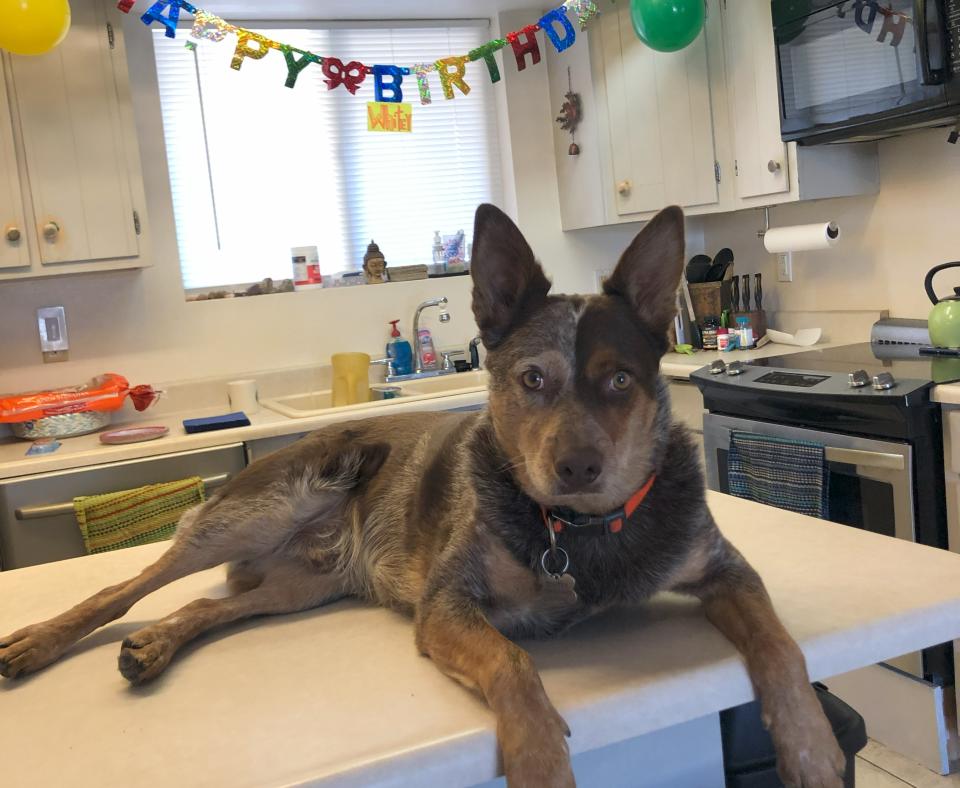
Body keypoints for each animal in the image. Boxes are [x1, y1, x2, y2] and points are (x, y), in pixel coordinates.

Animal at [0, 205, 844, 788]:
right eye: (531, 379)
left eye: (619, 380)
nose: (578, 468)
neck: (579, 531)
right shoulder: (448, 605)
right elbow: (514, 665)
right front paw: (540, 762)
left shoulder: (722, 567)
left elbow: (780, 643)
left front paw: (810, 747)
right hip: (254, 510)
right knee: (127, 585)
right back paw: (42, 640)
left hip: (301, 586)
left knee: (214, 607)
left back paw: (155, 644)